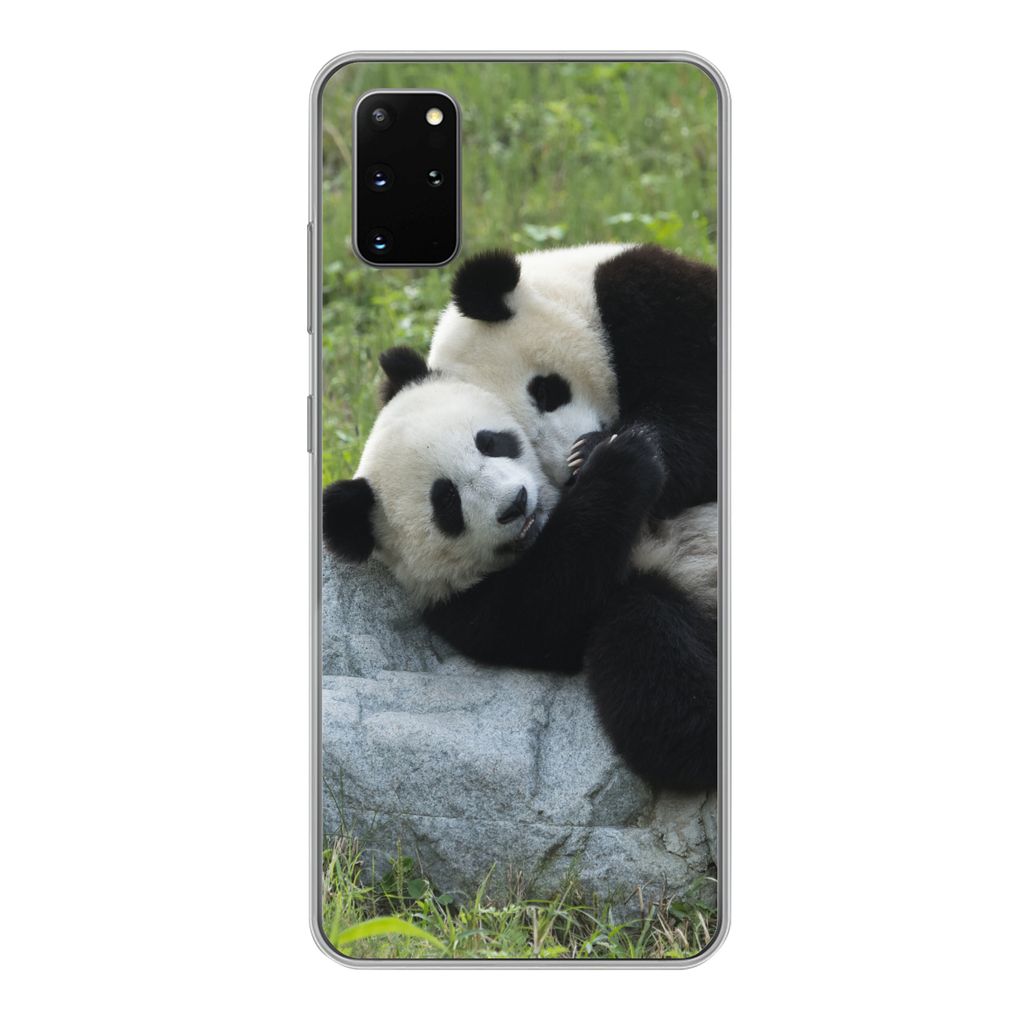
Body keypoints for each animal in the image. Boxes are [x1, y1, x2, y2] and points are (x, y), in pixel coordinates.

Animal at [323, 349, 717, 791]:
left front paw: (605, 446)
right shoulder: (465, 607)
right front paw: (622, 459)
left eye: (490, 442)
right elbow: (549, 601)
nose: (515, 503)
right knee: (649, 650)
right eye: (447, 503)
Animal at [427, 243, 718, 522]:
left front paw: (590, 451)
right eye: (520, 441)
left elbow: (695, 417)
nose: (570, 475)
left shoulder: (660, 307)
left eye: (544, 391)